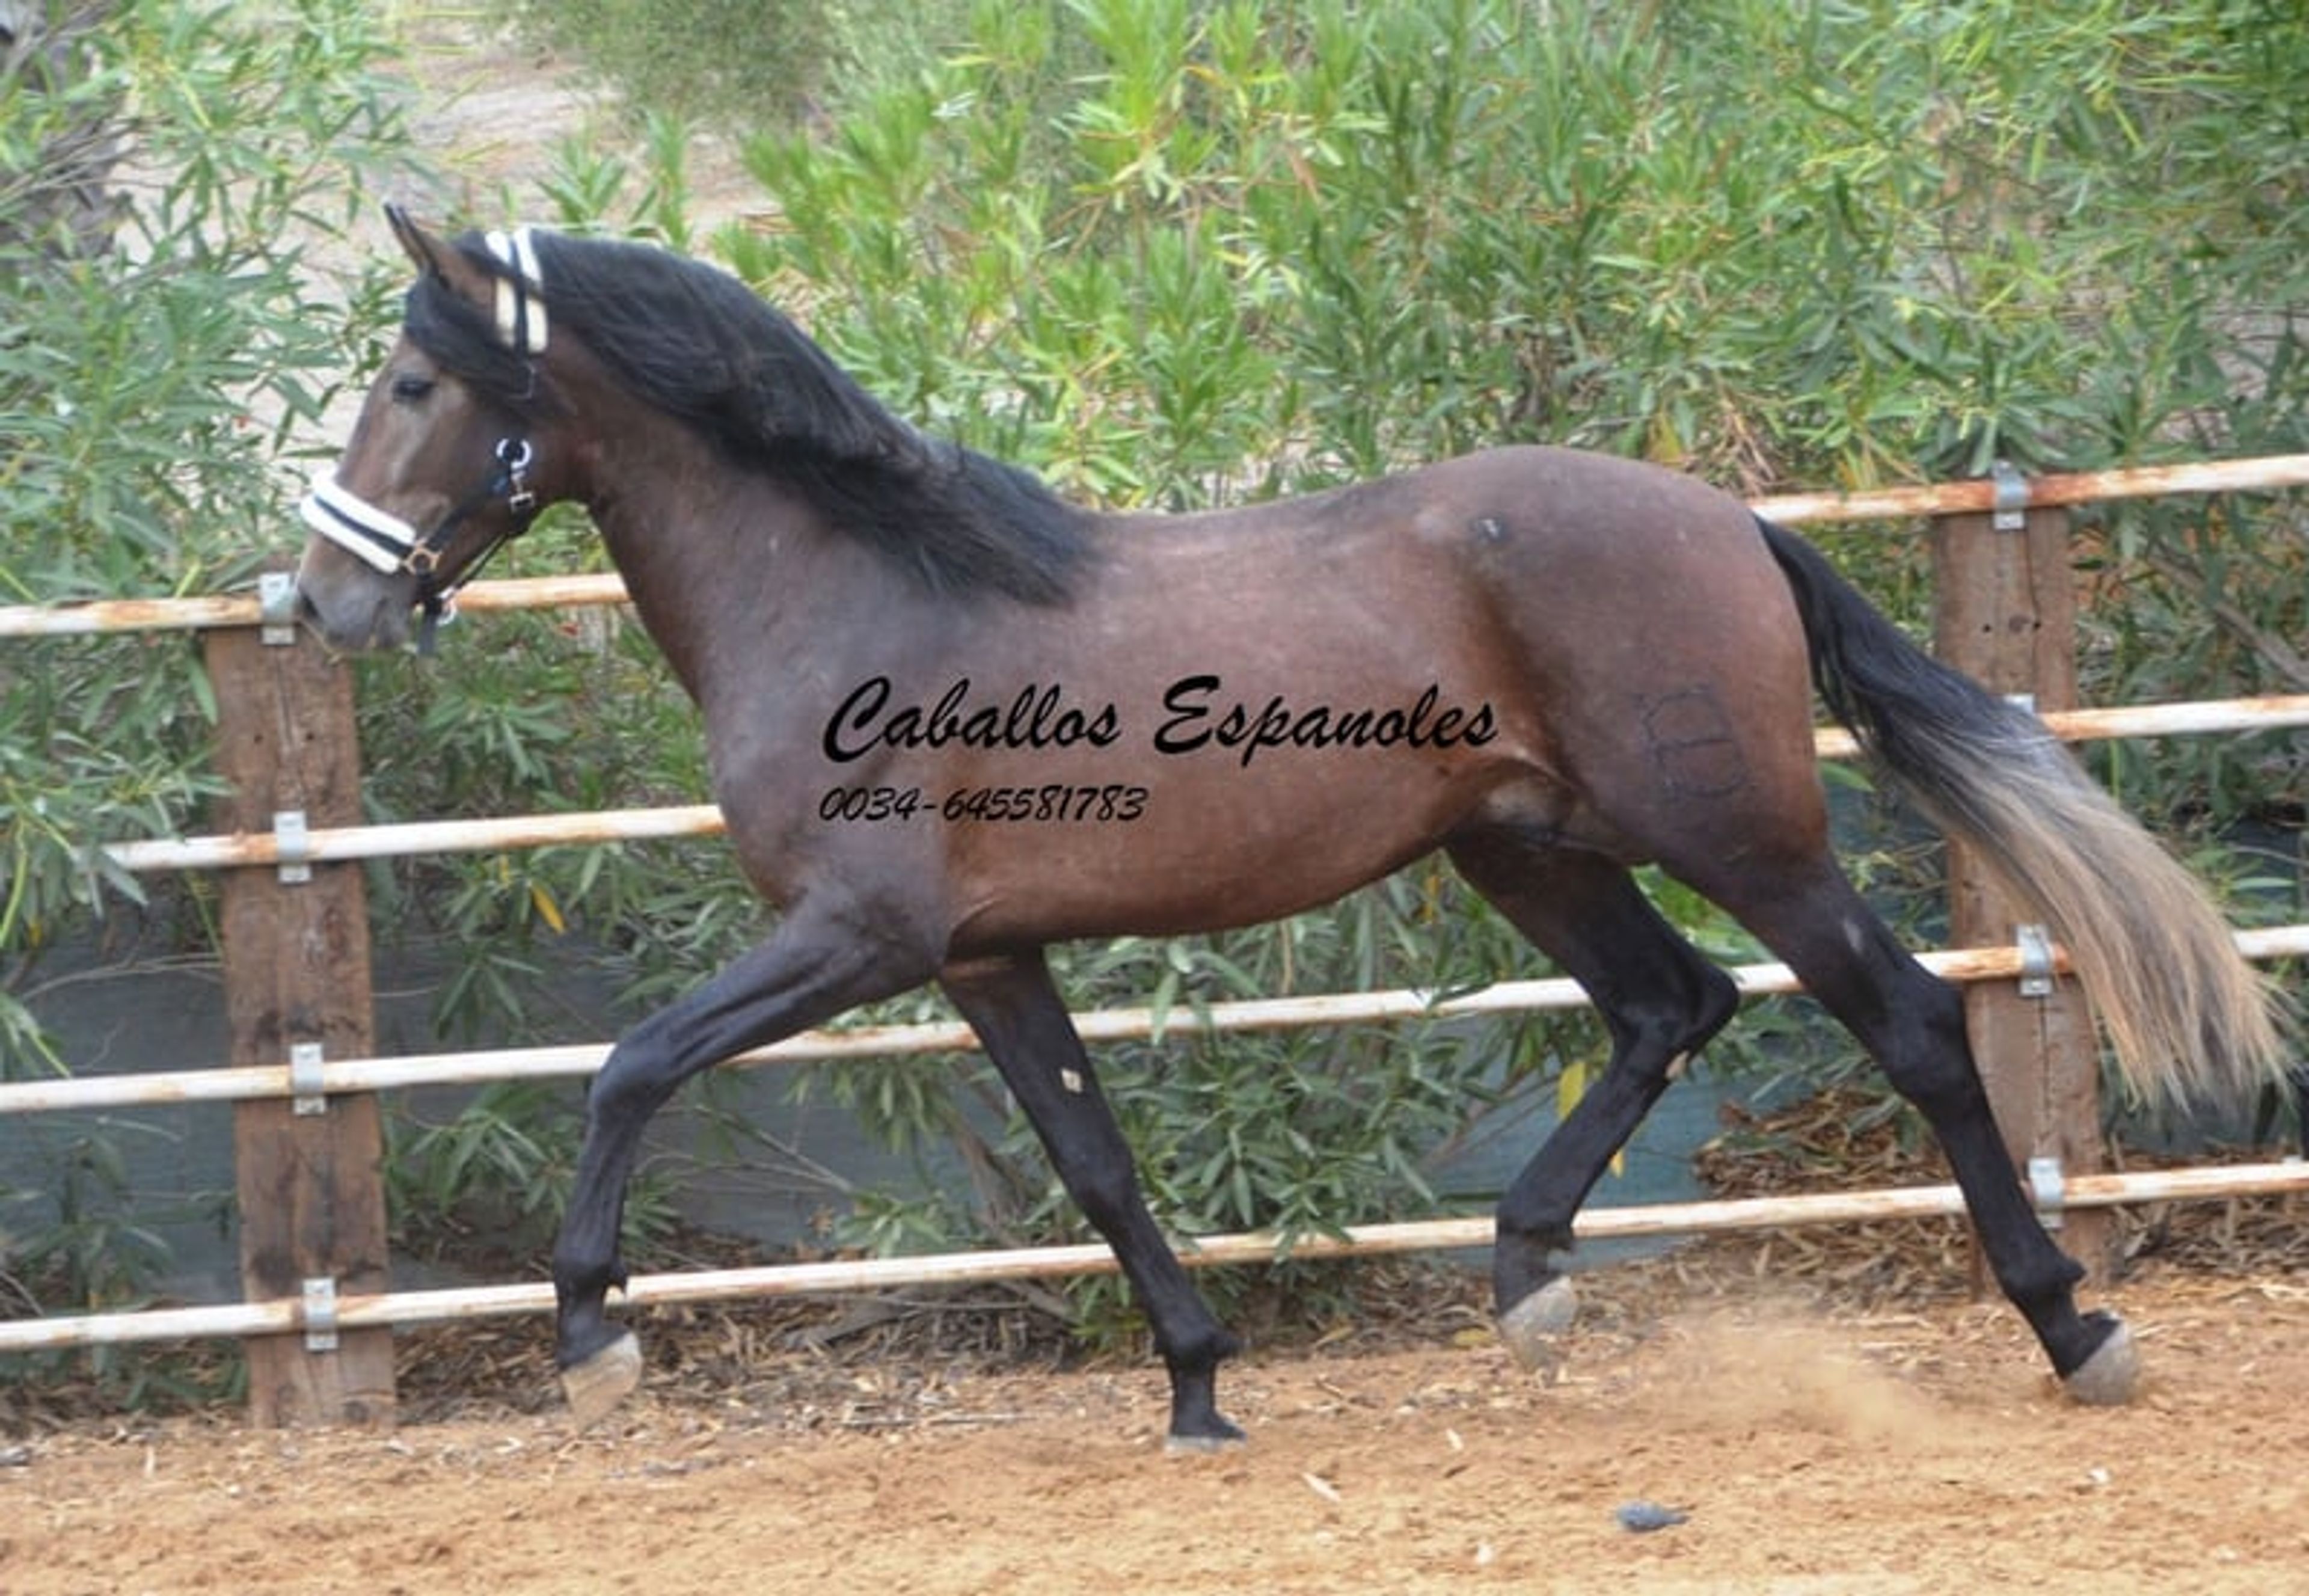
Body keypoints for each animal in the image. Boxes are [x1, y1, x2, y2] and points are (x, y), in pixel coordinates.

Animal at [292, 207, 2287, 1448]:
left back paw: (2073, 1324)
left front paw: (593, 1336)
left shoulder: (856, 935)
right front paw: (1196, 1388)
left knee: (1910, 1020)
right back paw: (1525, 1275)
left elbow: (627, 1064)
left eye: (412, 383)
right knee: (1670, 1003)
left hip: (1741, 833)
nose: (324, 602)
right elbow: (1095, 1167)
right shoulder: (985, 955)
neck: (855, 588)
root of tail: (1726, 516)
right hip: (1522, 846)